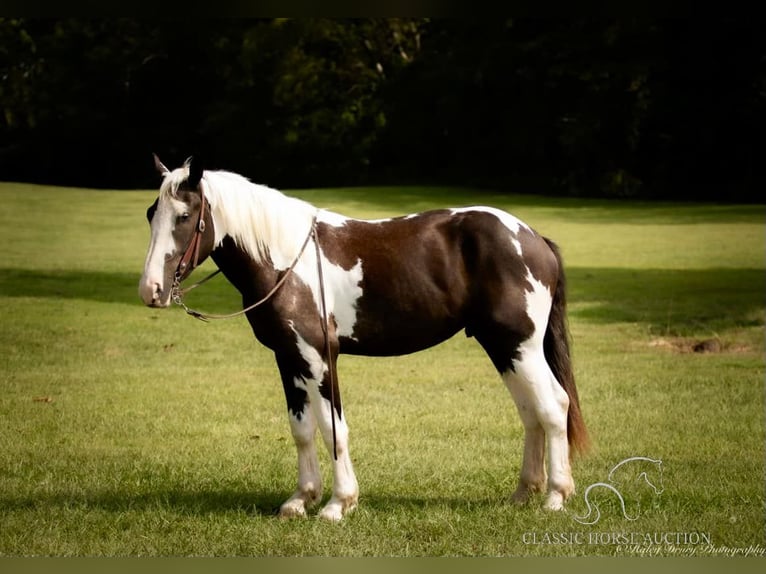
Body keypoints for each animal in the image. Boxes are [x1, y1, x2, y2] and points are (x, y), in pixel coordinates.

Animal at [138, 156, 592, 520]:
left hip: (521, 346)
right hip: (503, 347)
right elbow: (301, 428)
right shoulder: (288, 358)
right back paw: (523, 493)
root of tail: (532, 237)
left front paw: (339, 504)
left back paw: (555, 496)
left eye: (184, 215)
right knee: (530, 412)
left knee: (553, 406)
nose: (151, 290)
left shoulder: (320, 359)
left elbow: (333, 428)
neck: (286, 260)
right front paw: (300, 500)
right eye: (150, 213)